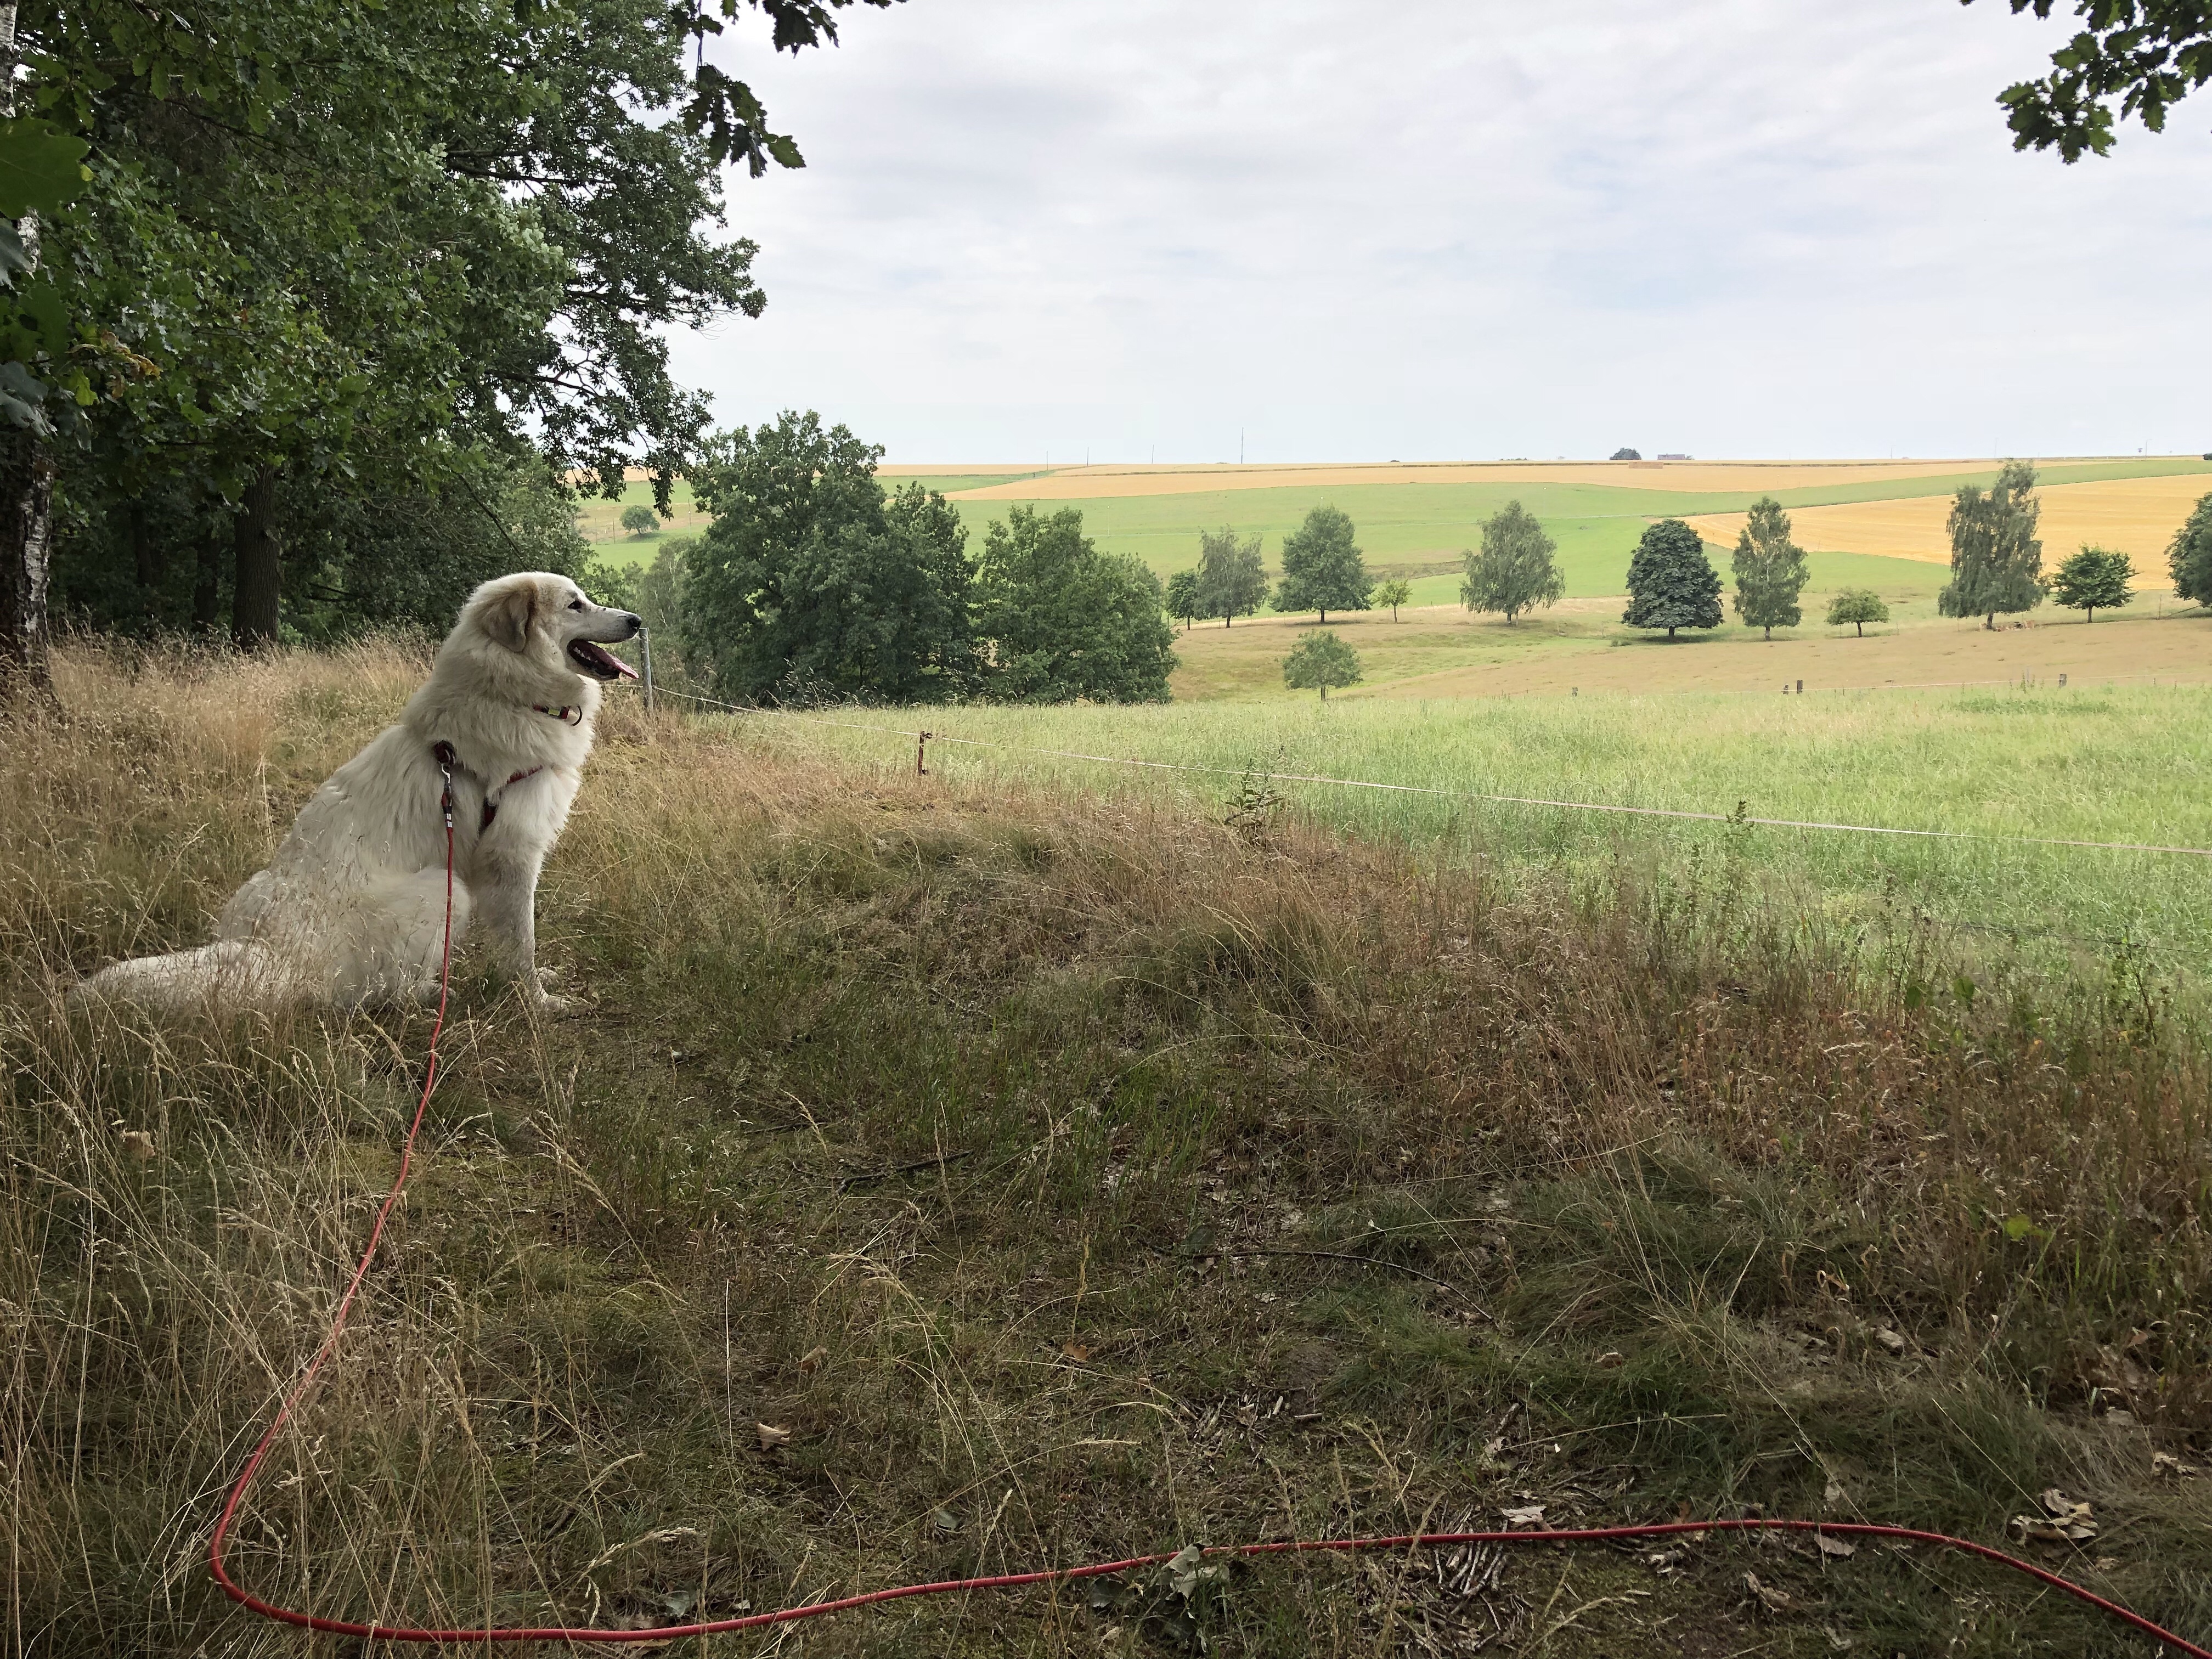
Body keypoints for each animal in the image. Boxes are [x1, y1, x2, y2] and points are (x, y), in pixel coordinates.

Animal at [76, 573, 641, 1013]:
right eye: (575, 604)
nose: (637, 620)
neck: (508, 692)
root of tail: (282, 959)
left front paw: (536, 985)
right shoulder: (512, 854)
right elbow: (521, 940)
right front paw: (536, 1001)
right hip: (444, 889)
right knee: (381, 994)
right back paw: (433, 994)